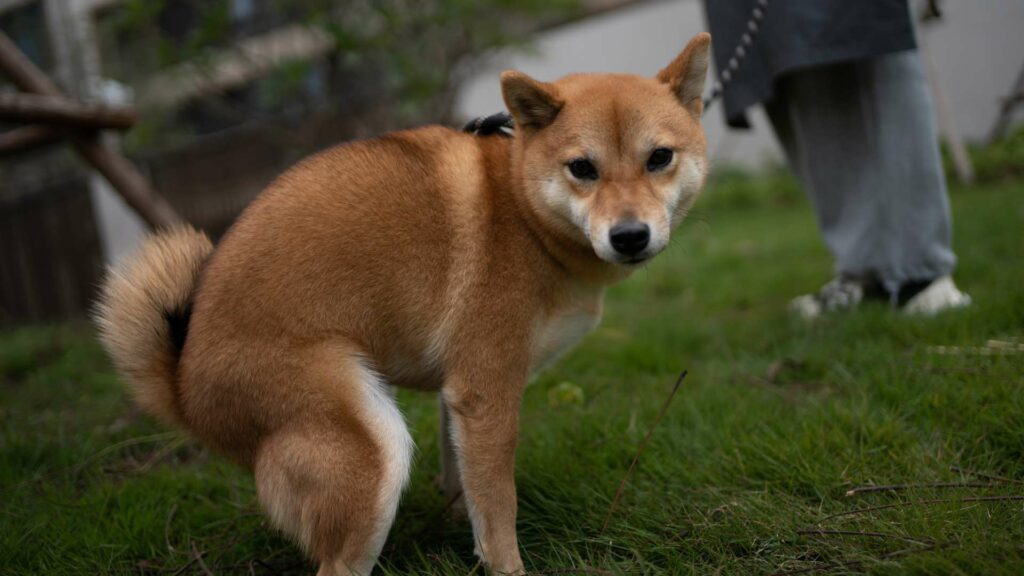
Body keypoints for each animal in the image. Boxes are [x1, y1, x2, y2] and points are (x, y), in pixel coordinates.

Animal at [97, 32, 712, 573]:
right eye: (582, 168)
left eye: (660, 158)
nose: (629, 236)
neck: (523, 211)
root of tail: (183, 383)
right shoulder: (487, 393)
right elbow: (500, 510)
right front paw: (506, 565)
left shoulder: (457, 395)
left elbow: (469, 491)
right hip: (373, 449)